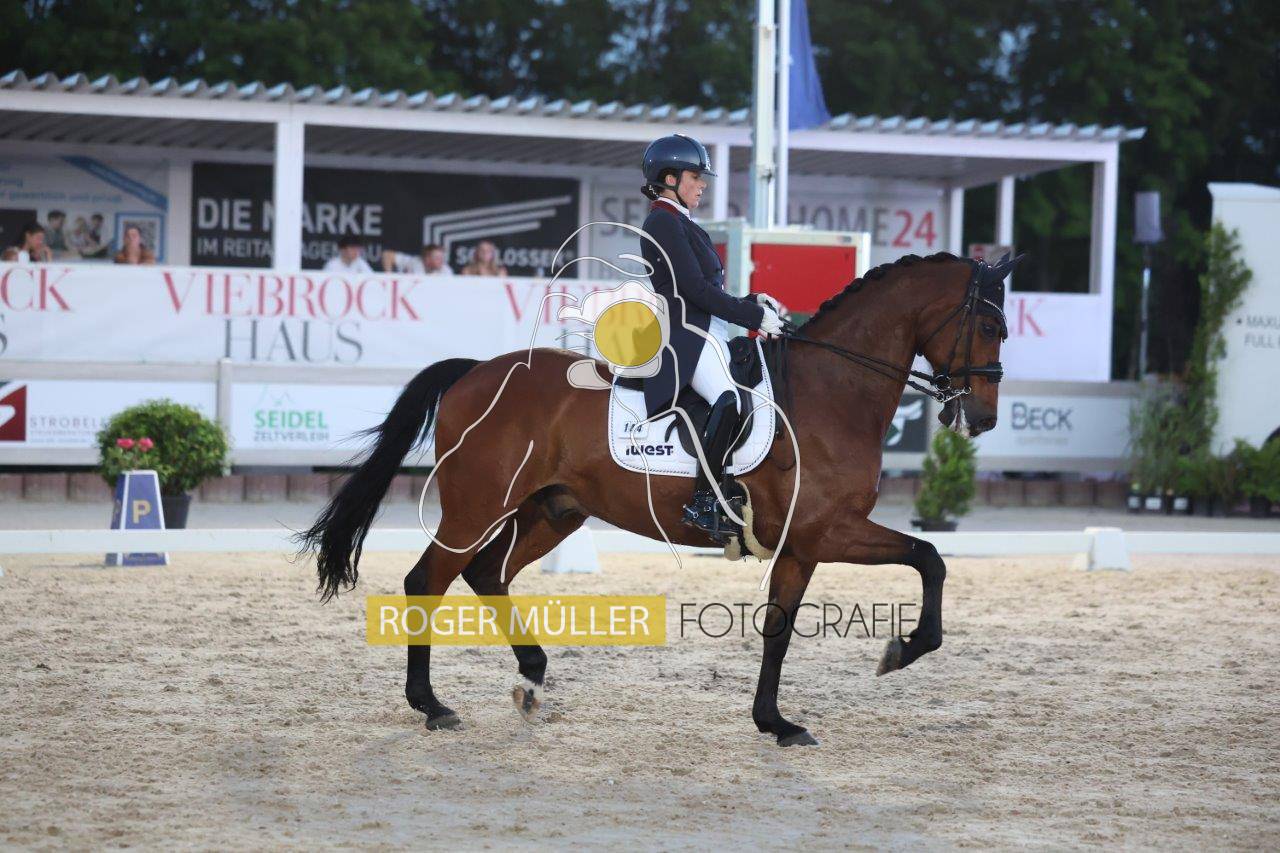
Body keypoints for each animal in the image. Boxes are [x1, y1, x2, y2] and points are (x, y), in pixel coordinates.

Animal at [298, 251, 1016, 747]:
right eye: (987, 323)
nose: (981, 418)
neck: (833, 392)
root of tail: (473, 373)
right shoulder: (826, 530)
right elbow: (928, 558)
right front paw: (898, 652)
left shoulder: (803, 544)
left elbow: (784, 627)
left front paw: (775, 720)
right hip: (478, 506)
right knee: (428, 579)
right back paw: (433, 705)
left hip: (553, 510)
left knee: (486, 573)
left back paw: (531, 676)